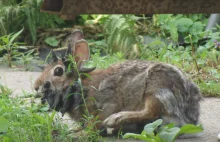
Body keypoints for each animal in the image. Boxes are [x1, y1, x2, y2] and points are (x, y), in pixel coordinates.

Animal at [34, 30, 203, 136]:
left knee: (151, 112)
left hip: (156, 87)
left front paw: (81, 134)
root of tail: (191, 116)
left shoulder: (107, 103)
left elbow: (95, 123)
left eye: (58, 71)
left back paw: (115, 119)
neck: (79, 84)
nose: (36, 86)